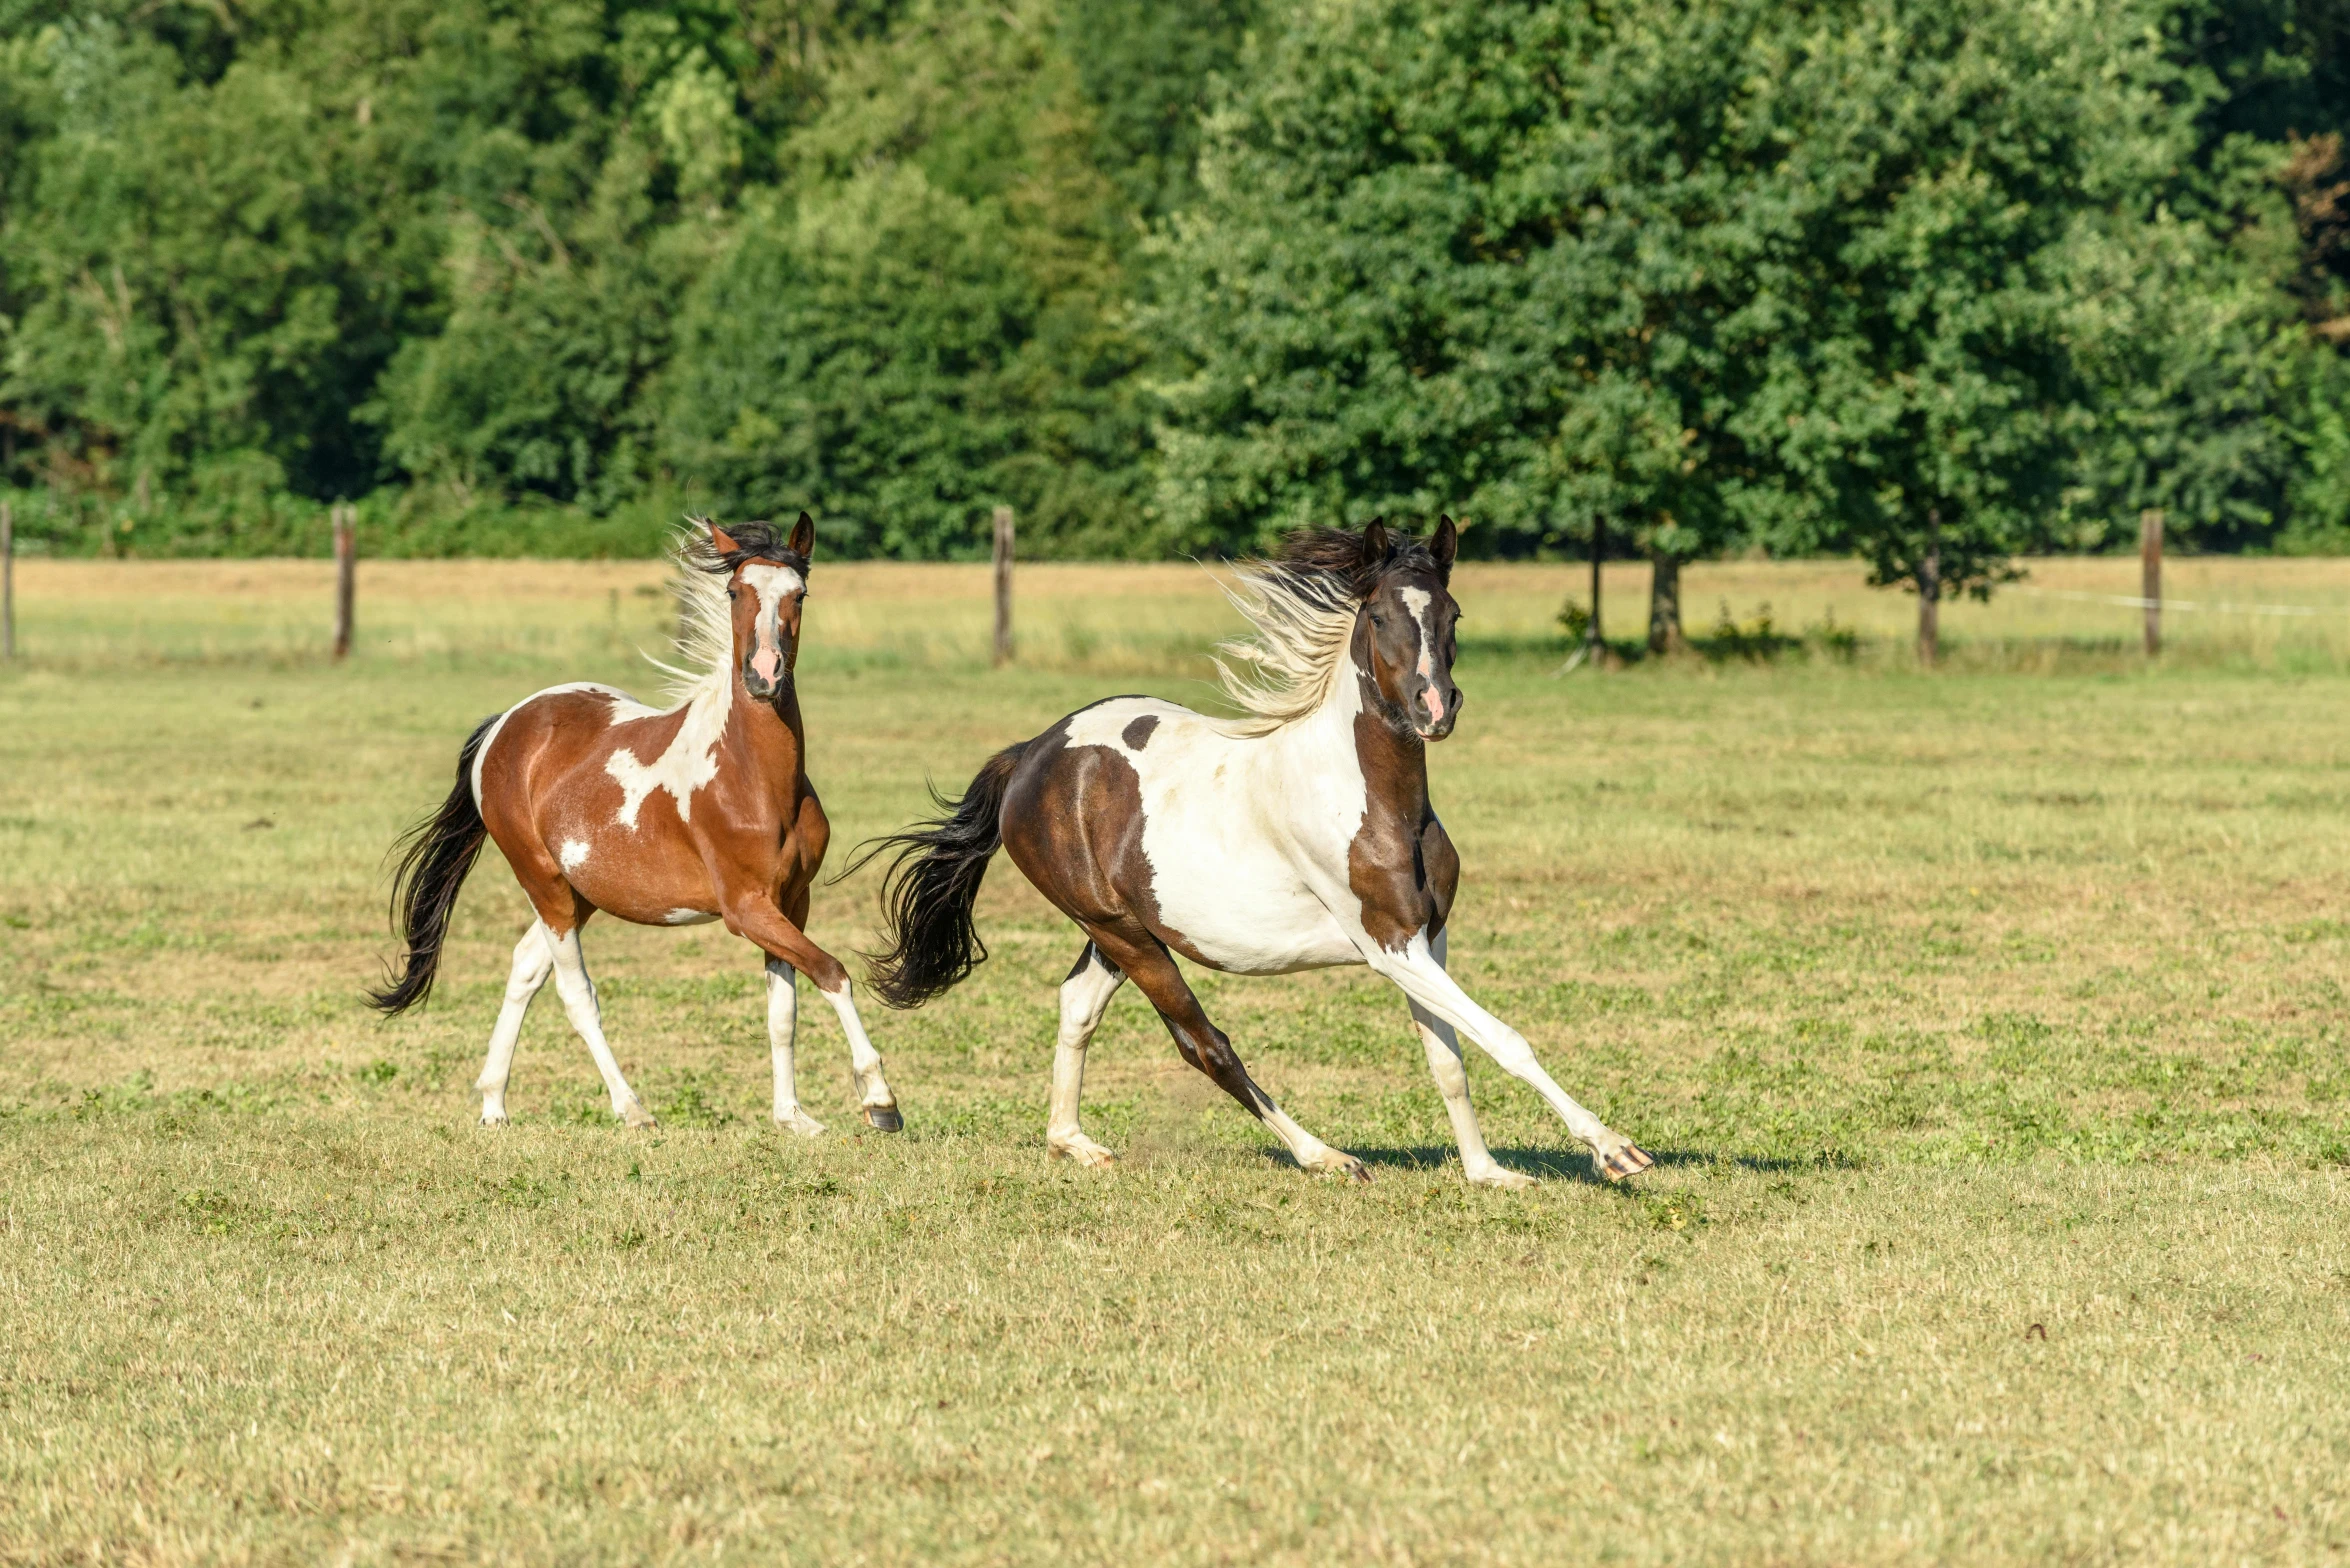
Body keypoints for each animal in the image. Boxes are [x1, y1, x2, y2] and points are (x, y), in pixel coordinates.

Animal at [366, 521, 897, 1133]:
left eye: (800, 595)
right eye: (734, 592)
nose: (764, 675)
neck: (755, 780)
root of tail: (506, 724)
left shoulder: (791, 901)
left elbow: (783, 1010)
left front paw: (793, 1116)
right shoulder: (745, 909)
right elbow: (832, 972)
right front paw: (879, 1099)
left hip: (582, 892)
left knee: (525, 967)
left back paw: (494, 1104)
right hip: (544, 882)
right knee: (576, 993)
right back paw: (632, 1109)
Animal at [864, 521, 1654, 1184]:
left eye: (1452, 615)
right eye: (1379, 617)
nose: (1434, 707)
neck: (1374, 801)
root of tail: (1033, 753)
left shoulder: (1429, 938)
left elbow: (1449, 1059)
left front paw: (1489, 1174)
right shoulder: (1388, 945)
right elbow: (1504, 1038)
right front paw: (1615, 1150)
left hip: (1122, 931)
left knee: (1077, 1006)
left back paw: (1074, 1143)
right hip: (1123, 934)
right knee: (1204, 1043)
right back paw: (1326, 1157)